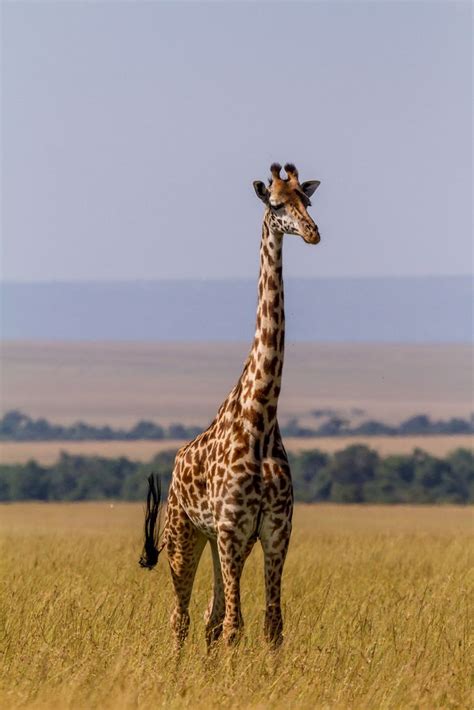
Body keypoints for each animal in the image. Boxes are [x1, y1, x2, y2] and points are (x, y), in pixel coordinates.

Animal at [139, 164, 320, 652]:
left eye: (306, 200)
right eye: (275, 204)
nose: (313, 233)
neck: (261, 417)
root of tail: (177, 462)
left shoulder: (275, 531)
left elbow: (271, 626)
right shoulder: (232, 528)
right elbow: (237, 627)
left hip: (216, 541)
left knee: (209, 616)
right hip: (185, 534)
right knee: (181, 616)